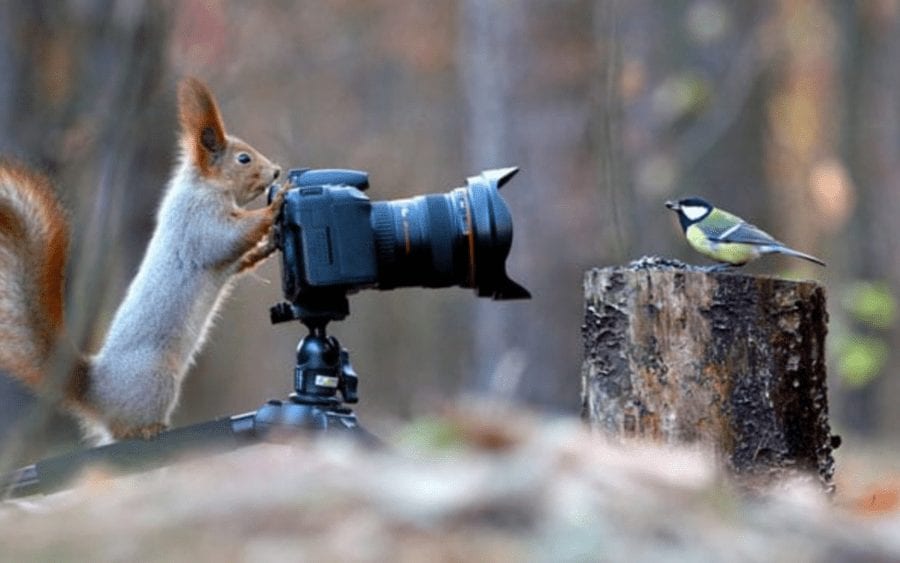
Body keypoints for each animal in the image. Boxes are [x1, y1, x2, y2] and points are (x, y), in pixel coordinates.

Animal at [0, 77, 284, 442]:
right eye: (244, 159)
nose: (276, 172)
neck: (204, 186)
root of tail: (98, 395)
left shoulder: (221, 253)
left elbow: (238, 260)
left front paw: (269, 243)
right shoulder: (197, 223)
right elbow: (226, 238)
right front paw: (275, 206)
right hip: (157, 380)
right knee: (126, 430)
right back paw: (149, 429)